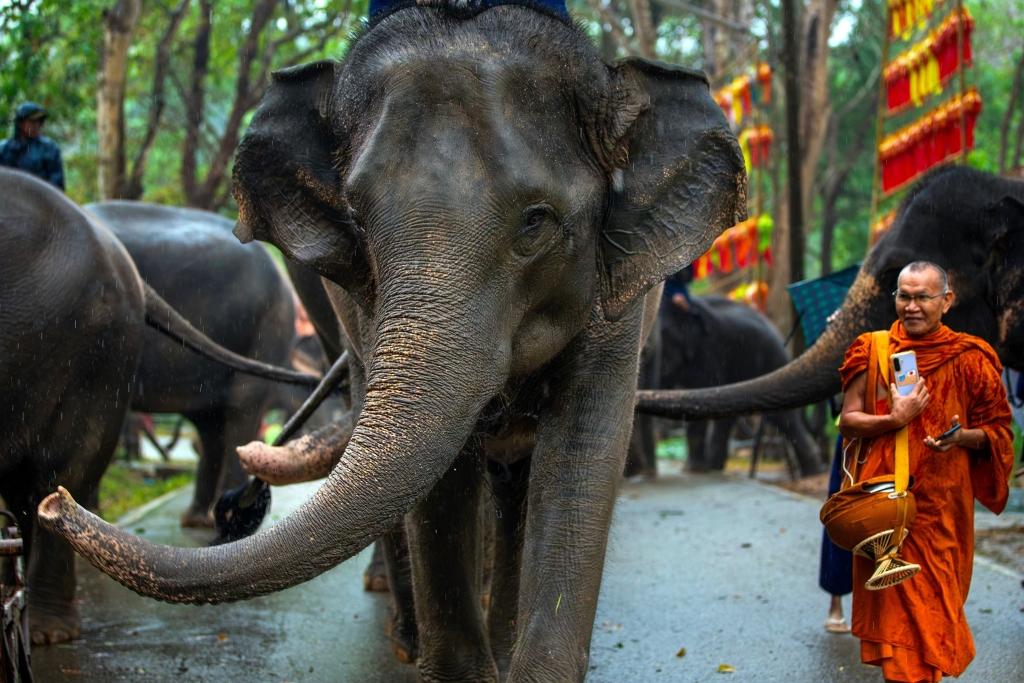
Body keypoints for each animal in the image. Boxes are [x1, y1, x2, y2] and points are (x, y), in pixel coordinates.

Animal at [648, 293, 823, 475]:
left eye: (663, 335)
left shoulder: (709, 354)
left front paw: (692, 470)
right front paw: (694, 469)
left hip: (771, 362)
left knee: (781, 416)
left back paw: (812, 473)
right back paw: (714, 467)